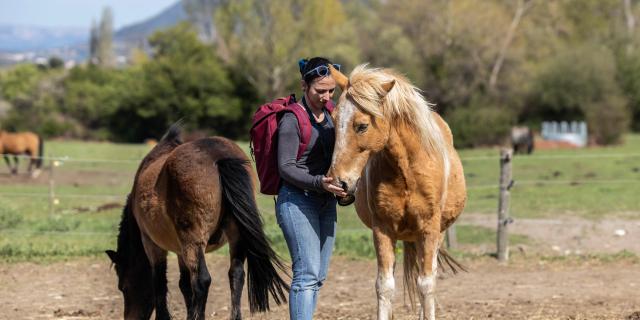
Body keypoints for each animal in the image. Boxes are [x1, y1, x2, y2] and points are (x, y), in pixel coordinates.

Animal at [105, 123, 288, 320]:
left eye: (123, 287)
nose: (130, 317)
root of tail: (217, 155)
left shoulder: (152, 244)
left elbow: (160, 283)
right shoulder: (179, 250)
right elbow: (184, 285)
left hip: (193, 240)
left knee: (202, 280)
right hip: (235, 236)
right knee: (236, 274)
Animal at [328, 65, 468, 320]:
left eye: (362, 126)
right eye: (333, 121)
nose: (338, 182)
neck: (407, 172)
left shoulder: (429, 230)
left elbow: (426, 284)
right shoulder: (382, 230)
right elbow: (384, 286)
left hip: (436, 235)